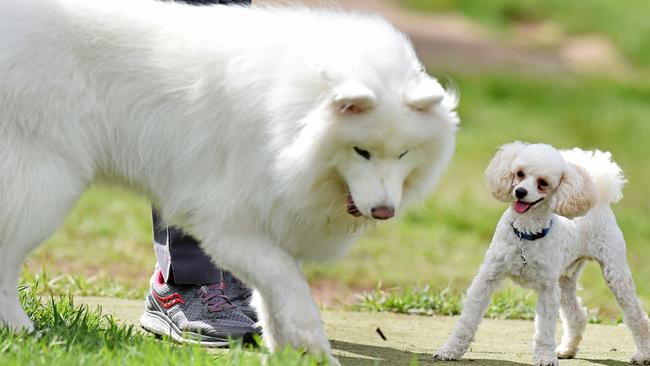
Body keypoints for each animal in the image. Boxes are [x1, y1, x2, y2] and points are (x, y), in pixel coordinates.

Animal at [0, 0, 456, 362]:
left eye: (404, 154)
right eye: (361, 152)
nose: (384, 211)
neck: (291, 118)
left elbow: (274, 297)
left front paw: (291, 351)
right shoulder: (226, 223)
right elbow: (289, 284)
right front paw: (315, 349)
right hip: (43, 185)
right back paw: (21, 331)